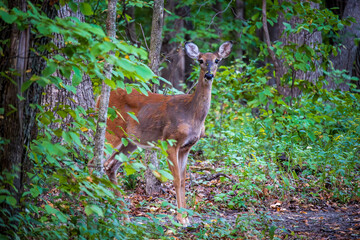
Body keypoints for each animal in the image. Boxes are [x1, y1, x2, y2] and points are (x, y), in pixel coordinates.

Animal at [102, 40, 233, 225]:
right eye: (200, 60)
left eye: (217, 60)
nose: (208, 75)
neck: (192, 115)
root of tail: (100, 98)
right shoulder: (169, 141)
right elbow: (176, 180)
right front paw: (181, 219)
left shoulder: (186, 147)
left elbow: (184, 180)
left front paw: (187, 218)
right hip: (111, 132)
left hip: (130, 142)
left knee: (110, 166)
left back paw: (125, 217)